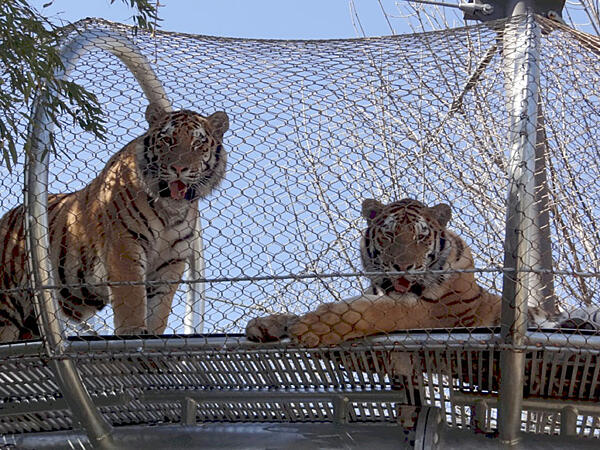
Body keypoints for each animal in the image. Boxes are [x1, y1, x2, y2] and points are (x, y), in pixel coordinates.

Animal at [0, 103, 229, 342]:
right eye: (167, 140)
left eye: (198, 143)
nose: (179, 169)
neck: (170, 210)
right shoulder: (125, 245)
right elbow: (131, 295)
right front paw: (133, 331)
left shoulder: (170, 263)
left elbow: (160, 309)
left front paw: (154, 335)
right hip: (7, 308)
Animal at [247, 195, 506, 346]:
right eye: (389, 234)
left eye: (420, 236)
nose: (403, 266)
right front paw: (267, 323)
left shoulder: (441, 312)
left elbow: (380, 311)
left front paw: (312, 327)